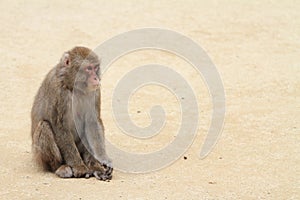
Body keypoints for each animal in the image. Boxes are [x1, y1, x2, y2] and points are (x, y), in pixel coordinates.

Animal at [31, 46, 112, 180]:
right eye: (88, 68)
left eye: (95, 68)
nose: (96, 78)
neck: (73, 87)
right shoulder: (57, 91)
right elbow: (60, 127)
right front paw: (79, 167)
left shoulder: (95, 91)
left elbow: (92, 123)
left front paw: (102, 160)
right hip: (40, 155)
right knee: (44, 126)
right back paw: (60, 167)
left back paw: (94, 166)